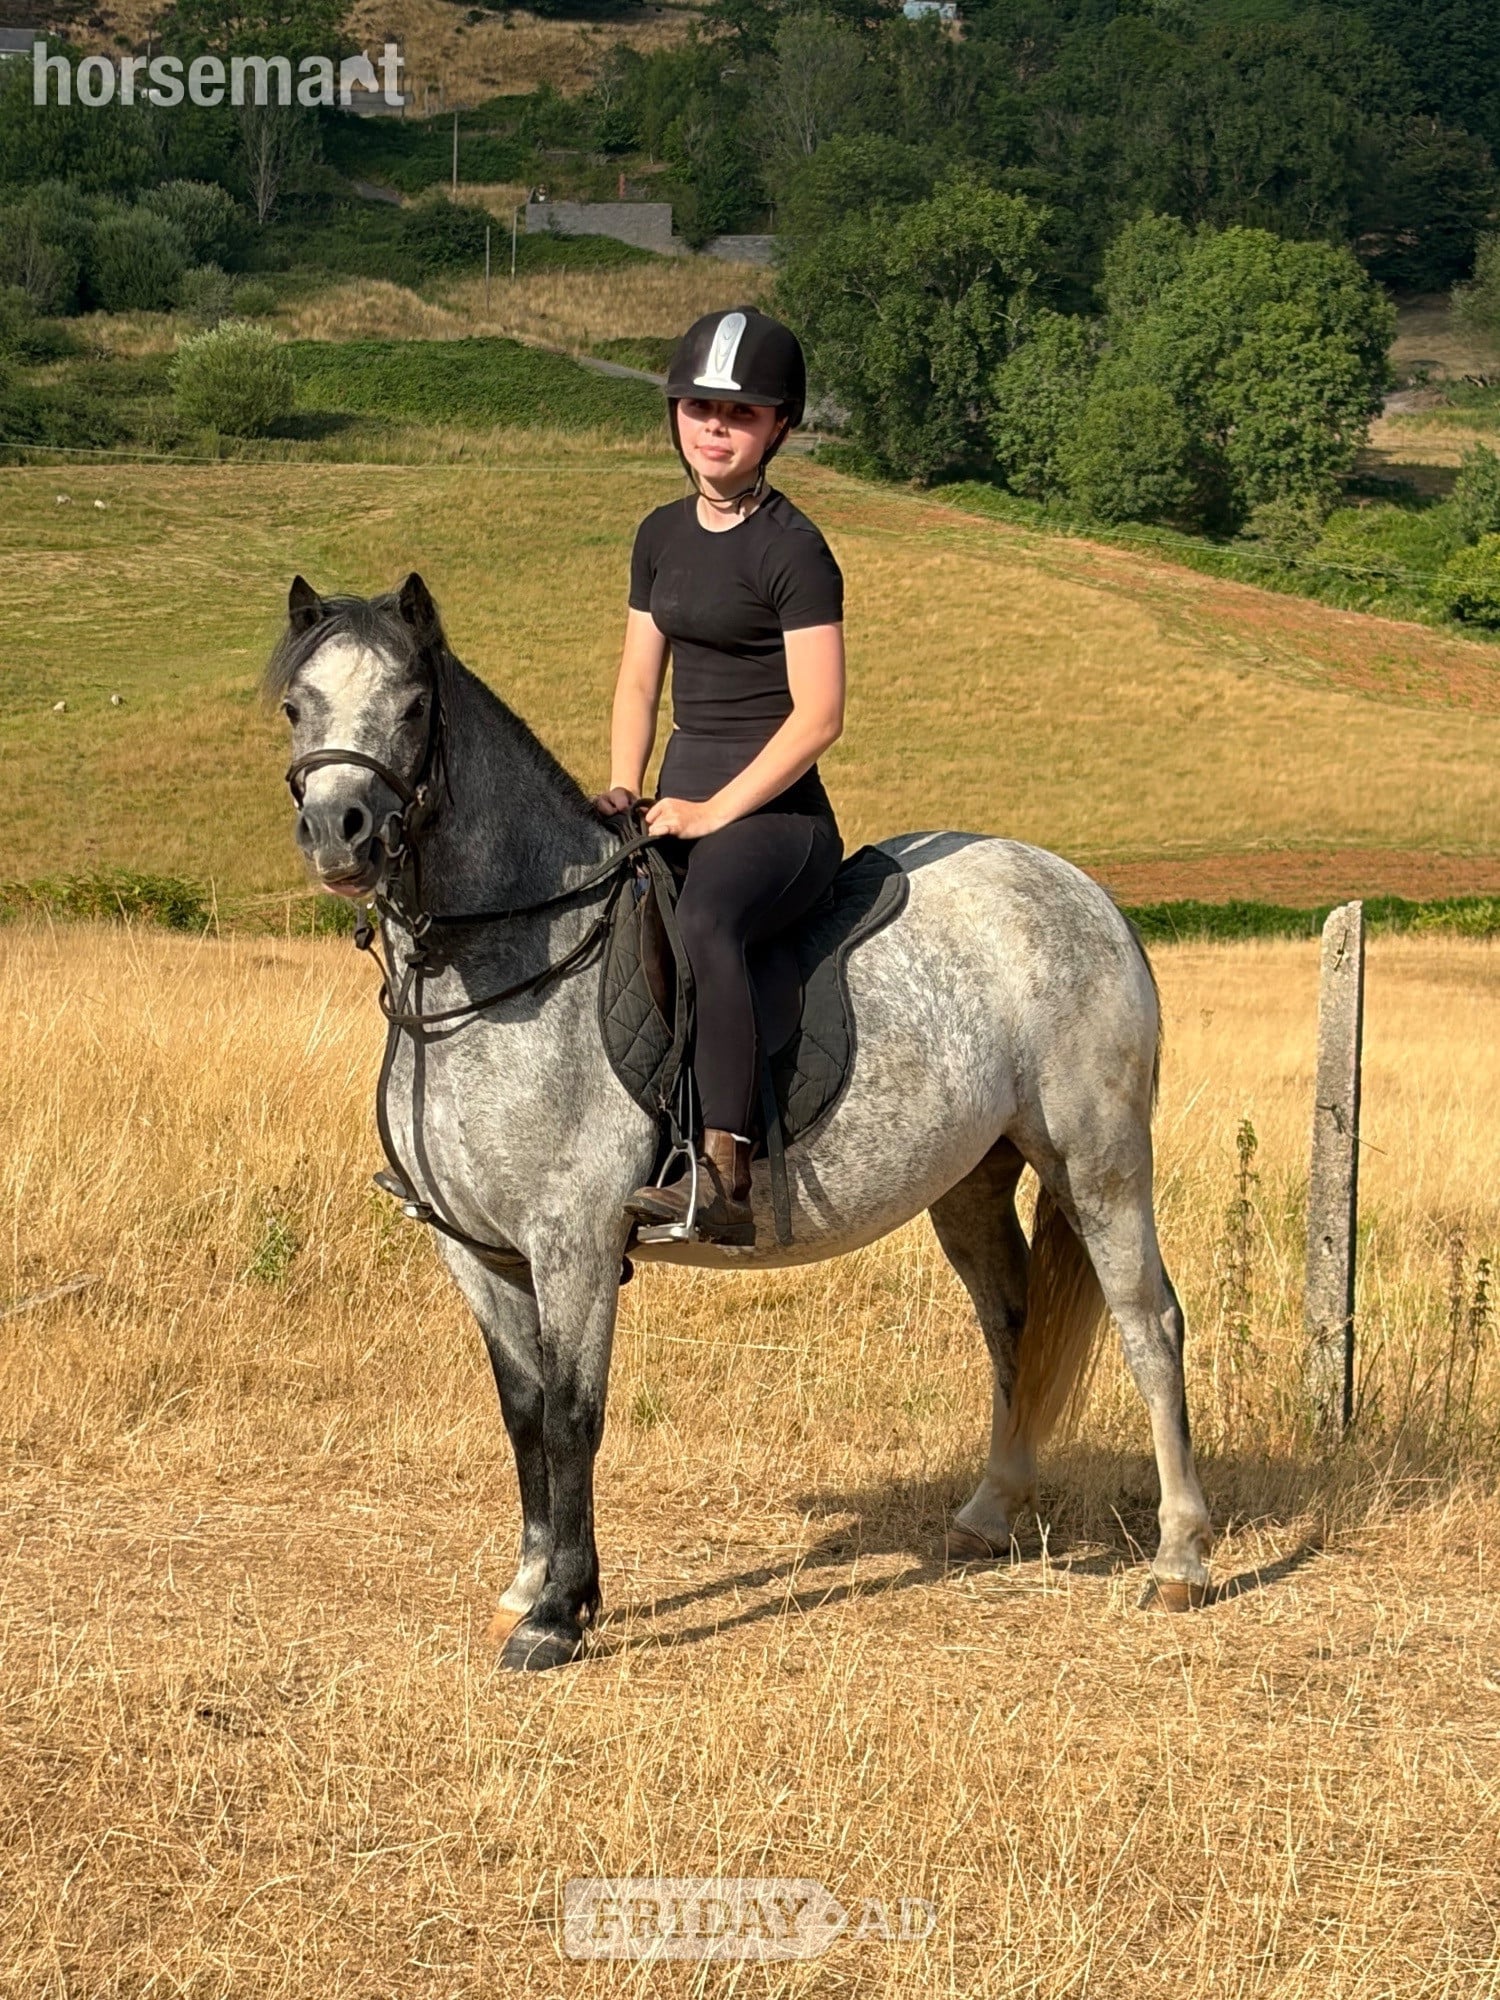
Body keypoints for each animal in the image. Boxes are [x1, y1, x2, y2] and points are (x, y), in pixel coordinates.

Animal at [267, 571, 1213, 1672]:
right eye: (296, 706)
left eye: (415, 706)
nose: (342, 832)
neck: (503, 968)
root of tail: (1090, 897)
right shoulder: (477, 1250)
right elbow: (522, 1415)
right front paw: (528, 1585)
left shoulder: (574, 1241)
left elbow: (573, 1416)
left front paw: (560, 1615)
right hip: (974, 1176)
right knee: (1011, 1319)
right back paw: (989, 1513)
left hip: (1097, 1160)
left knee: (1150, 1321)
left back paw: (1182, 1559)